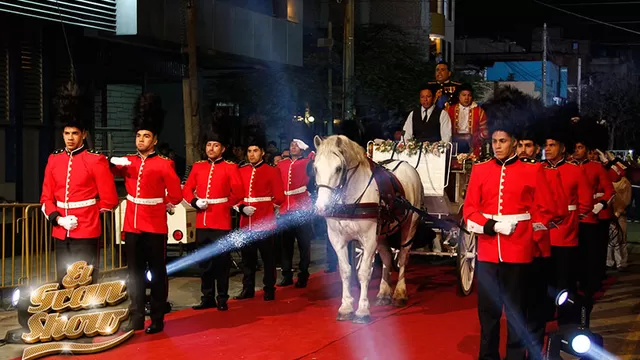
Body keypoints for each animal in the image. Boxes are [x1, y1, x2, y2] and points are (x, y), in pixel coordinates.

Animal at [312, 135, 422, 324]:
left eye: (338, 168)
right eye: (315, 167)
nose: (322, 207)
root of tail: (405, 163)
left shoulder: (369, 238)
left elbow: (364, 272)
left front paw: (362, 310)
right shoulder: (337, 239)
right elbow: (345, 271)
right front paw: (346, 307)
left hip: (410, 226)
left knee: (402, 257)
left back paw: (400, 292)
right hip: (383, 232)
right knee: (387, 258)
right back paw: (384, 292)